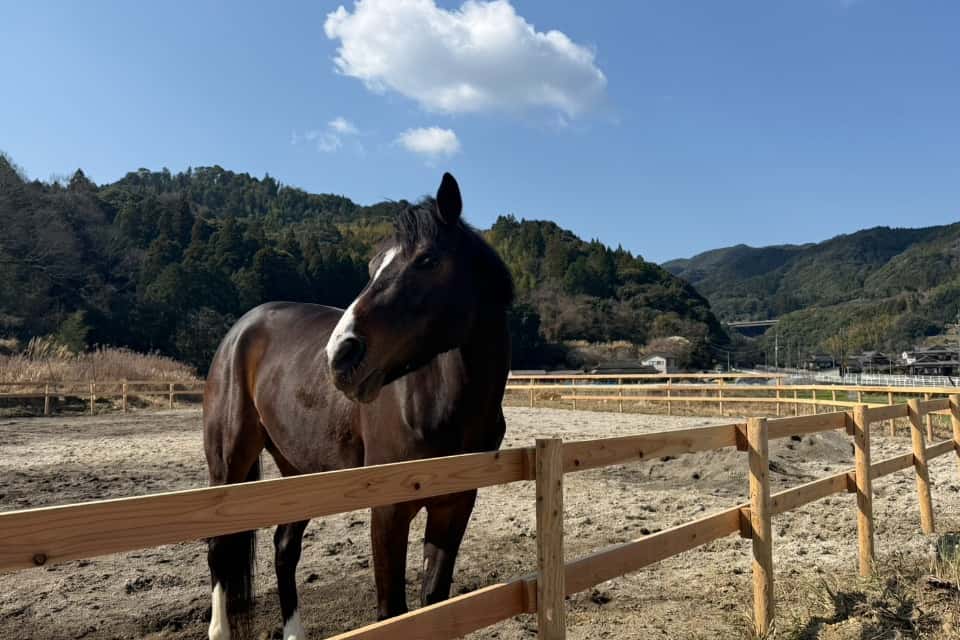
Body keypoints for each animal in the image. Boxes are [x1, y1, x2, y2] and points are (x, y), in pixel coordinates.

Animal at [203, 172, 515, 640]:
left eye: (427, 260)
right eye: (372, 268)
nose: (341, 355)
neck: (438, 403)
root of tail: (240, 330)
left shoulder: (455, 505)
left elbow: (434, 603)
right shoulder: (388, 511)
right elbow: (392, 613)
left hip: (300, 470)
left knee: (284, 547)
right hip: (229, 465)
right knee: (220, 549)